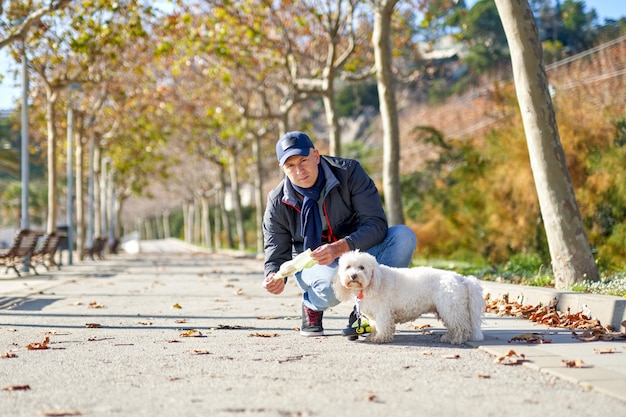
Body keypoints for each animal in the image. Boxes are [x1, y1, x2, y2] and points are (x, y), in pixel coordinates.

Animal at [332, 250, 482, 344]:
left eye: (362, 267)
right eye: (348, 267)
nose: (353, 276)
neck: (374, 282)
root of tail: (462, 279)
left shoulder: (383, 312)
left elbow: (382, 326)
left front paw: (380, 338)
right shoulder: (374, 315)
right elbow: (375, 326)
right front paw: (372, 336)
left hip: (451, 308)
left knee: (461, 327)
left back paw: (457, 339)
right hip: (449, 310)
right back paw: (449, 337)